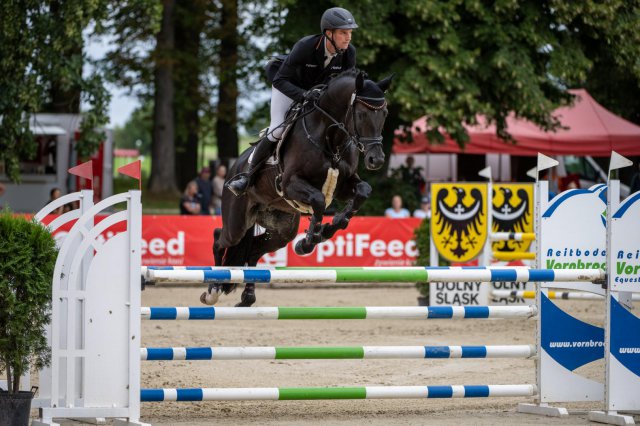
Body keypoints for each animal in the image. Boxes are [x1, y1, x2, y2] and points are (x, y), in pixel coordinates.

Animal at [202, 69, 392, 306]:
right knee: (220, 237)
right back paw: (213, 289)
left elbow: (363, 192)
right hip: (237, 221)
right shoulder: (290, 184)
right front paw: (309, 241)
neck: (330, 139)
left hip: (282, 230)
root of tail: (234, 168)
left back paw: (247, 298)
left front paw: (331, 227)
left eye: (384, 113)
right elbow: (319, 200)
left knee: (253, 249)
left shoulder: (343, 185)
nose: (376, 160)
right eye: (361, 114)